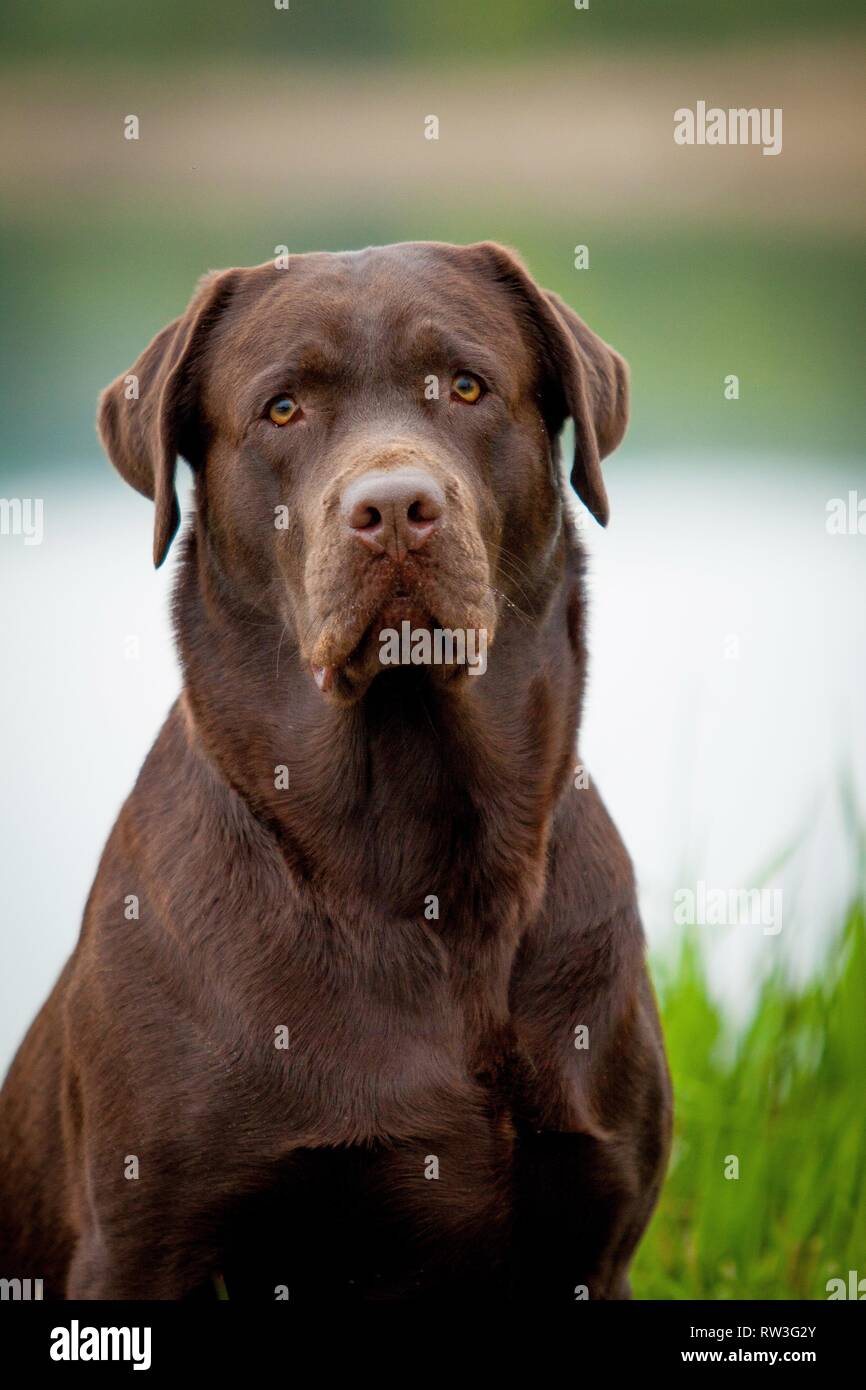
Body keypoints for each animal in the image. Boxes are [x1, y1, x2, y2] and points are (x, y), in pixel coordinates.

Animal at [0, 241, 670, 1301]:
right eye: (283, 408)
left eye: (467, 386)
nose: (394, 508)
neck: (419, 860)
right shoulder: (136, 1248)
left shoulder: (595, 1239)